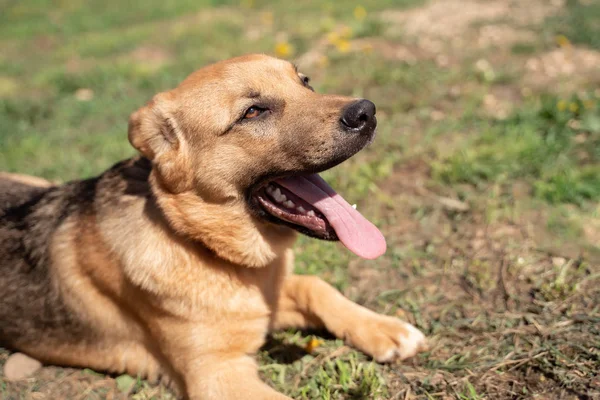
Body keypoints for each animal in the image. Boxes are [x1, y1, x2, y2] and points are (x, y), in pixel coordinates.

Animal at [0, 54, 424, 398]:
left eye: (305, 82)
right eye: (252, 112)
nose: (367, 111)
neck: (202, 244)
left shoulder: (267, 302)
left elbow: (316, 286)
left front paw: (385, 328)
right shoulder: (219, 376)